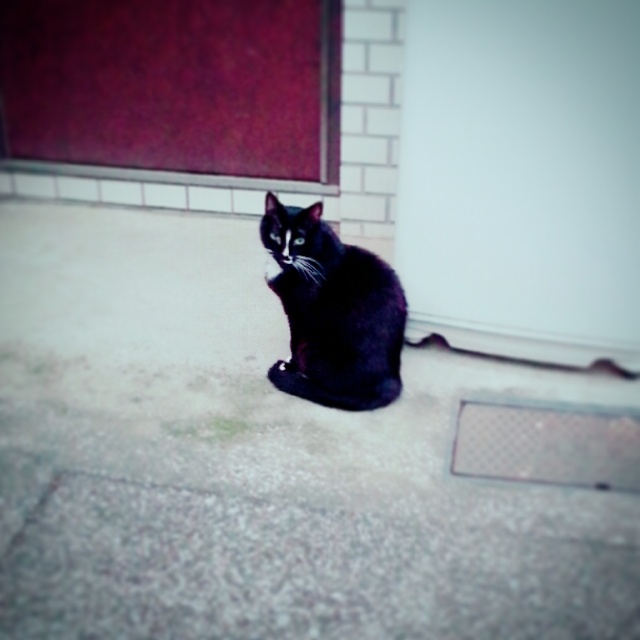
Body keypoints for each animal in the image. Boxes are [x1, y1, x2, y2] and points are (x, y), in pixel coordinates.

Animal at [260, 191, 407, 411]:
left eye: (300, 240)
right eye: (275, 235)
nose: (284, 256)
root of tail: (391, 379)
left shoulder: (299, 313)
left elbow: (294, 341)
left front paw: (290, 365)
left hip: (314, 347)